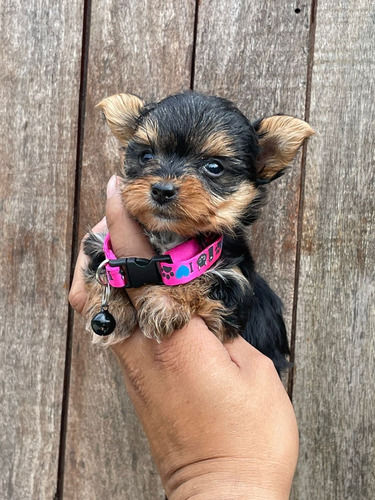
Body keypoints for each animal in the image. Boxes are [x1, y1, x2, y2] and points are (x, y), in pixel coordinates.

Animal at [84, 90, 314, 374]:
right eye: (146, 156)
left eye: (214, 167)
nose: (162, 190)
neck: (171, 237)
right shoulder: (98, 243)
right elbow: (103, 264)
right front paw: (113, 302)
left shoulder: (232, 290)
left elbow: (202, 278)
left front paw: (167, 300)